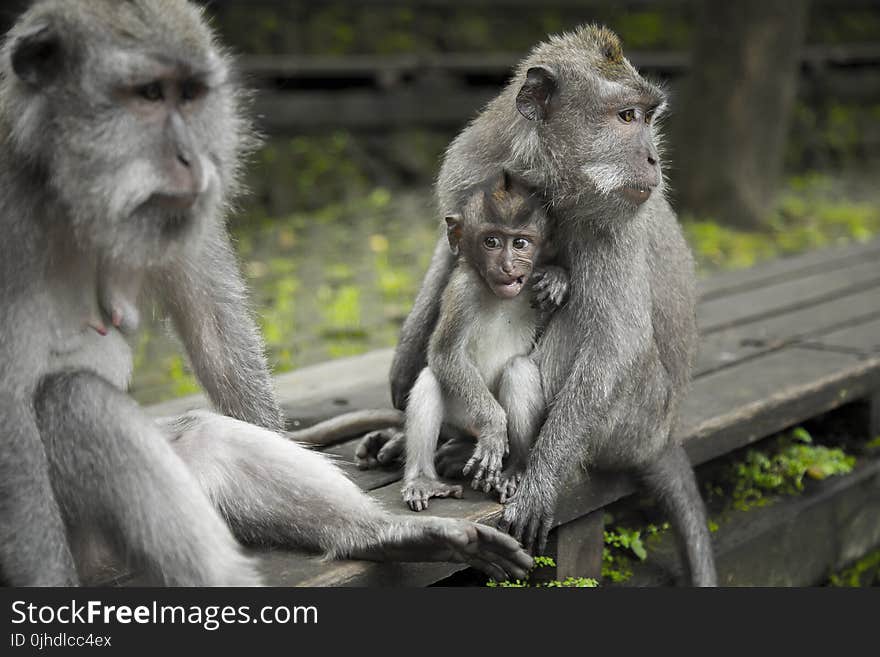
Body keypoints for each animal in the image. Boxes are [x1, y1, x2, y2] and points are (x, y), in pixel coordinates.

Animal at [0, 0, 528, 584]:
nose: (191, 158)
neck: (62, 183)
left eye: (189, 94)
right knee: (77, 401)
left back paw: (384, 535)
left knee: (199, 436)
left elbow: (216, 334)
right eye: (148, 95)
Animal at [400, 172, 568, 510]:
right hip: (463, 417)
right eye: (491, 242)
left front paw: (557, 278)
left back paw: (516, 468)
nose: (507, 266)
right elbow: (445, 355)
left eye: (520, 243)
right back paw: (423, 479)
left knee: (519, 369)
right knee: (431, 380)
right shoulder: (462, 291)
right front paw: (493, 427)